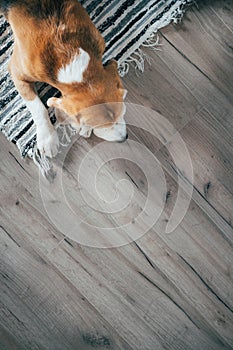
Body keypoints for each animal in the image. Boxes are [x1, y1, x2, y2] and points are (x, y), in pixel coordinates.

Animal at [0, 0, 127, 157]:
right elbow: (37, 107)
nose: (124, 138)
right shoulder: (16, 73)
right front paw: (47, 138)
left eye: (123, 113)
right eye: (99, 125)